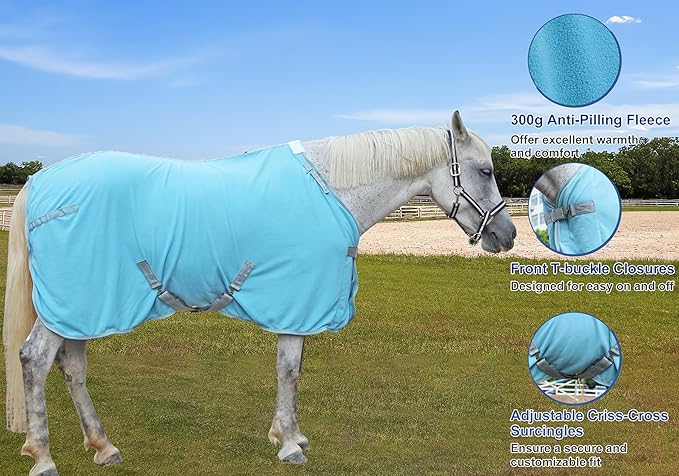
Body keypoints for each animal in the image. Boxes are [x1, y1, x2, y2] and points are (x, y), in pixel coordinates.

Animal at [3, 111, 516, 475]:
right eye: (485, 170)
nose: (508, 235)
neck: (332, 190)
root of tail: (42, 181)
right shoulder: (296, 302)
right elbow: (289, 370)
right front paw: (289, 444)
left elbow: (295, 369)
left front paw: (292, 435)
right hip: (71, 305)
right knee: (35, 360)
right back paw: (44, 458)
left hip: (80, 307)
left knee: (72, 367)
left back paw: (103, 446)